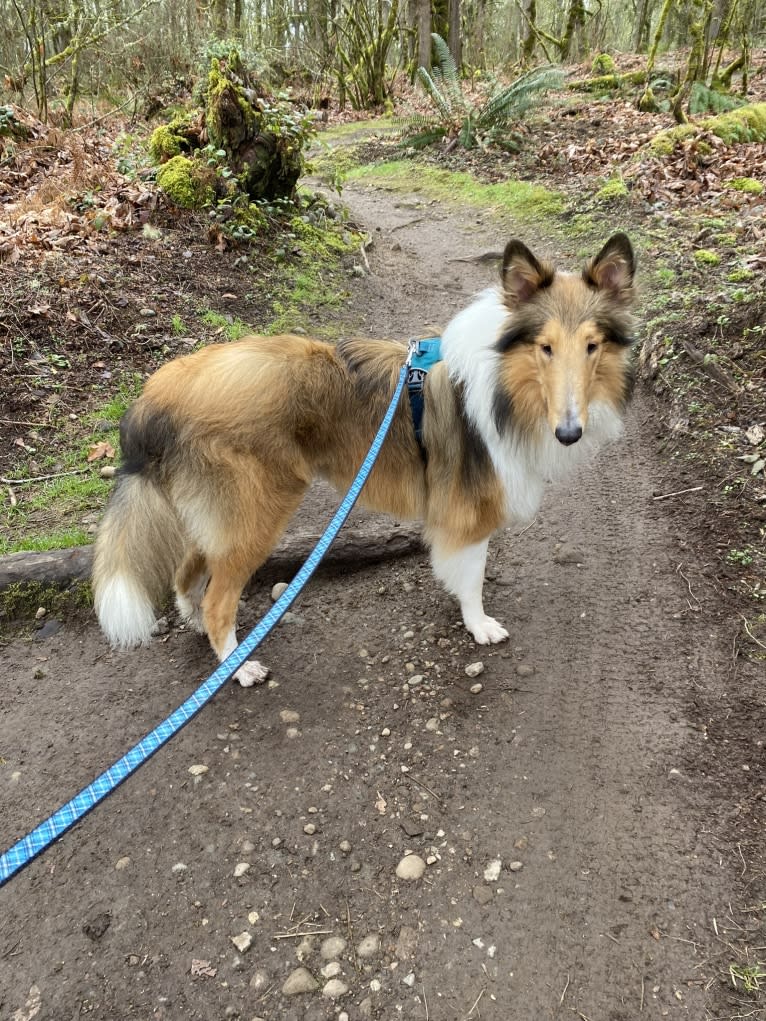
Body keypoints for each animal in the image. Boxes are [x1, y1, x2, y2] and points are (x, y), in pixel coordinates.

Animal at [92, 233, 637, 686]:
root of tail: (160, 394)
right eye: (545, 347)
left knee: (188, 574)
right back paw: (238, 666)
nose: (569, 432)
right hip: (255, 515)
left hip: (217, 518)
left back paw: (194, 624)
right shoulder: (466, 513)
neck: (505, 378)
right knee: (217, 601)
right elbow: (472, 576)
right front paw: (479, 625)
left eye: (592, 346)